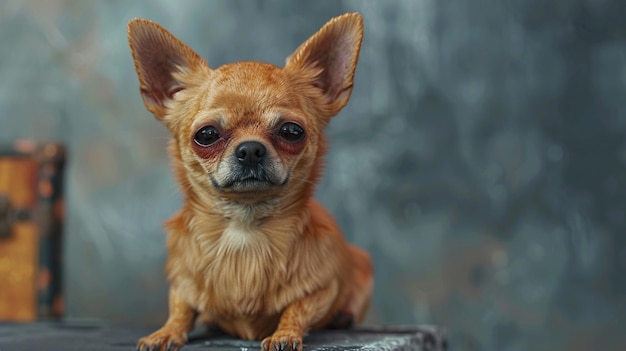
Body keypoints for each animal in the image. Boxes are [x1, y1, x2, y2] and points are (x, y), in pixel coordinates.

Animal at [127, 12, 370, 350]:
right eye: (206, 135)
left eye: (292, 132)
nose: (251, 149)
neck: (245, 228)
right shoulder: (182, 279)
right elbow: (181, 305)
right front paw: (166, 331)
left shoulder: (324, 287)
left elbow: (299, 307)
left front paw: (284, 334)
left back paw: (343, 316)